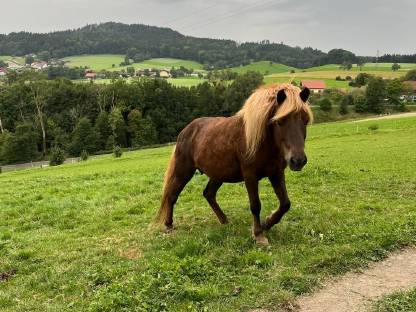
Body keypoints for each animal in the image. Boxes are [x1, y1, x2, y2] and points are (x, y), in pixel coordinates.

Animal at [155, 84, 312, 245]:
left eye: (305, 120)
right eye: (280, 121)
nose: (298, 160)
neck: (260, 140)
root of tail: (185, 131)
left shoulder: (276, 173)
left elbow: (285, 203)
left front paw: (267, 223)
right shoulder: (250, 175)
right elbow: (255, 205)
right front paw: (258, 234)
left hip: (218, 174)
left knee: (209, 194)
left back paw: (224, 220)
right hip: (184, 171)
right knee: (172, 195)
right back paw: (169, 225)